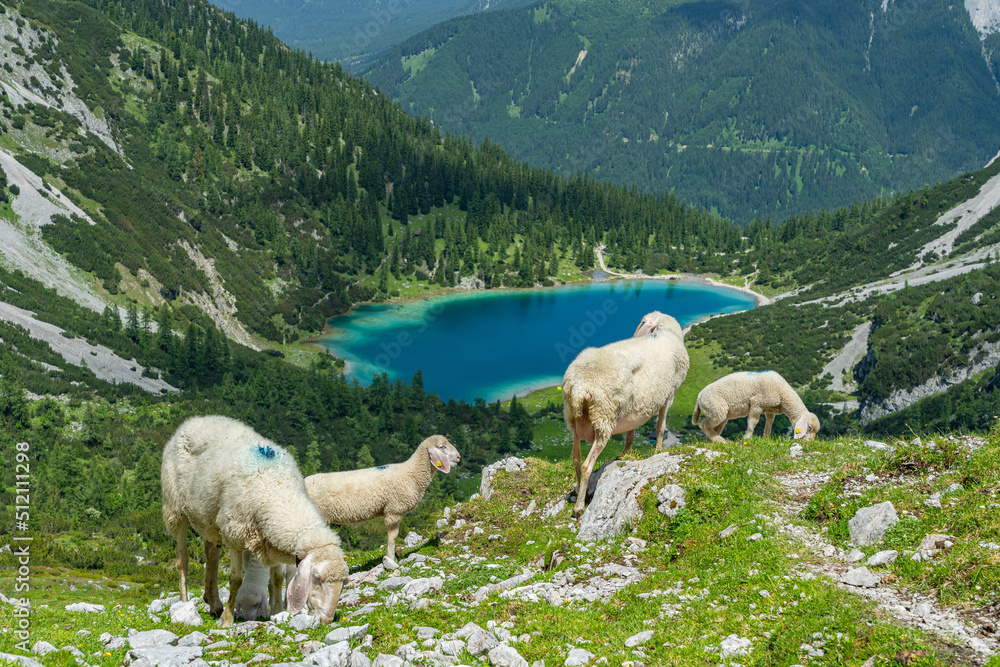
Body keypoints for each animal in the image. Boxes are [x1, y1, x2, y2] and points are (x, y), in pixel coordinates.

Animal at [161, 415, 350, 626]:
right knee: (182, 559)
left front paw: (277, 611)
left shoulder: (271, 540)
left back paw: (214, 603)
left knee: (211, 553)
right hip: (175, 508)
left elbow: (277, 578)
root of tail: (195, 420)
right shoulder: (235, 535)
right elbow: (235, 580)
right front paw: (228, 619)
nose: (326, 619)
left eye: (345, 582)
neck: (277, 488)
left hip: (211, 520)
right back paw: (185, 601)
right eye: (317, 578)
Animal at [305, 435, 461, 570]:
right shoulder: (394, 510)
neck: (412, 473)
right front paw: (390, 559)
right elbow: (392, 537)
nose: (459, 457)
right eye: (442, 447)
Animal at [562, 311, 690, 518]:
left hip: (573, 419)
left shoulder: (636, 409)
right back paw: (579, 507)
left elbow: (631, 435)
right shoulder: (669, 395)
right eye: (643, 322)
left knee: (575, 458)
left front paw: (625, 455)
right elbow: (660, 427)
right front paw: (658, 450)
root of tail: (580, 386)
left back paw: (581, 491)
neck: (664, 330)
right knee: (587, 464)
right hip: (604, 418)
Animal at [691, 370, 821, 444]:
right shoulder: (756, 403)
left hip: (721, 413)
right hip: (716, 409)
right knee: (703, 425)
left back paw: (712, 441)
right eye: (809, 427)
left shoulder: (770, 409)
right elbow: (753, 422)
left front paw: (766, 438)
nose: (810, 443)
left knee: (714, 428)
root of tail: (699, 396)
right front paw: (747, 438)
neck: (783, 394)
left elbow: (769, 424)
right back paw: (719, 440)